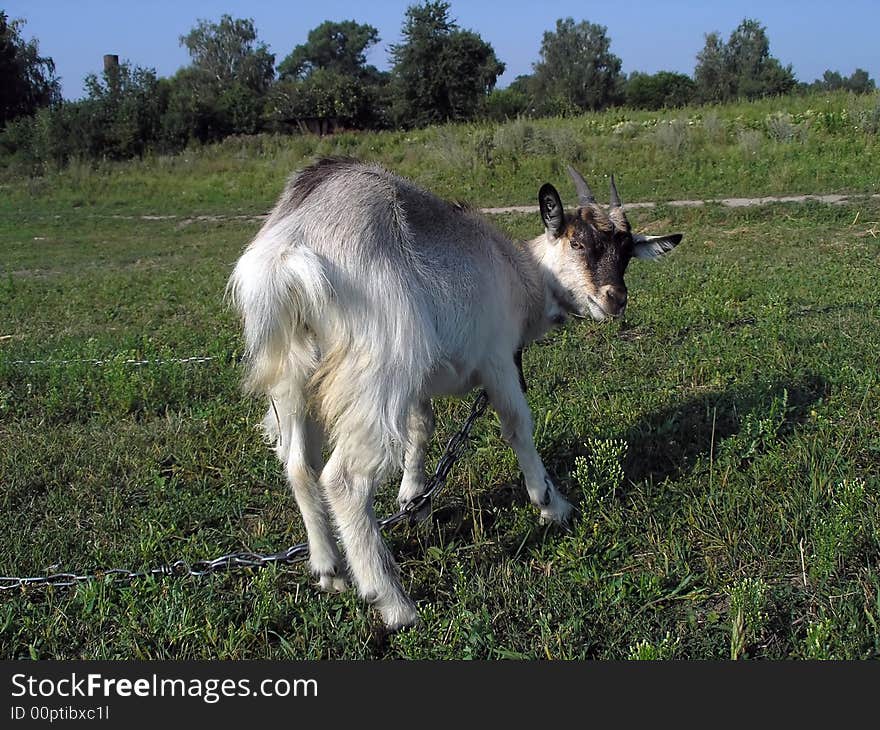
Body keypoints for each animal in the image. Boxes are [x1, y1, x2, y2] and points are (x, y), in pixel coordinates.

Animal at [227, 158, 680, 624]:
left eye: (626, 253)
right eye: (577, 242)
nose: (615, 299)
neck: (521, 274)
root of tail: (288, 248)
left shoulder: (419, 386)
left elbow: (422, 427)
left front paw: (415, 501)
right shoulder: (498, 359)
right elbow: (517, 424)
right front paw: (552, 505)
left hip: (293, 374)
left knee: (299, 464)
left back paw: (328, 570)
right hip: (380, 365)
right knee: (344, 479)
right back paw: (393, 603)